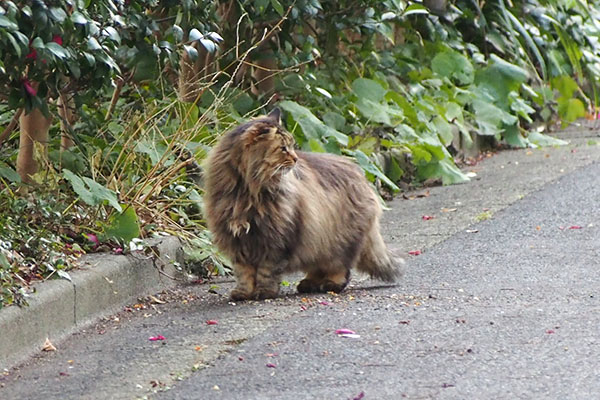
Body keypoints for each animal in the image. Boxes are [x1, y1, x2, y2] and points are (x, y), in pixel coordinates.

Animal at [203, 107, 404, 300]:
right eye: (283, 148)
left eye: (291, 146)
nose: (296, 158)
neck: (248, 190)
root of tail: (362, 176)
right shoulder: (238, 242)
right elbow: (244, 273)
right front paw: (243, 293)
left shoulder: (275, 240)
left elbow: (266, 272)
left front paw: (264, 292)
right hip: (316, 243)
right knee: (316, 268)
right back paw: (308, 284)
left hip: (339, 242)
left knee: (341, 269)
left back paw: (330, 284)